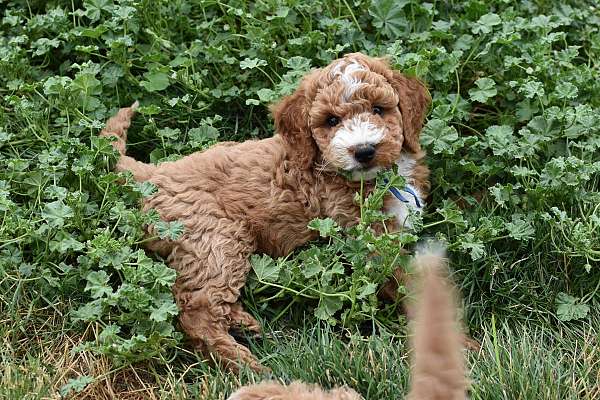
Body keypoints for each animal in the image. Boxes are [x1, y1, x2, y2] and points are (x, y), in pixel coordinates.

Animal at [99, 52, 432, 372]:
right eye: (331, 120)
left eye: (378, 109)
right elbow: (404, 280)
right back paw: (245, 364)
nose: (364, 151)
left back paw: (243, 323)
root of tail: (153, 175)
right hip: (216, 240)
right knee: (197, 310)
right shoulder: (367, 240)